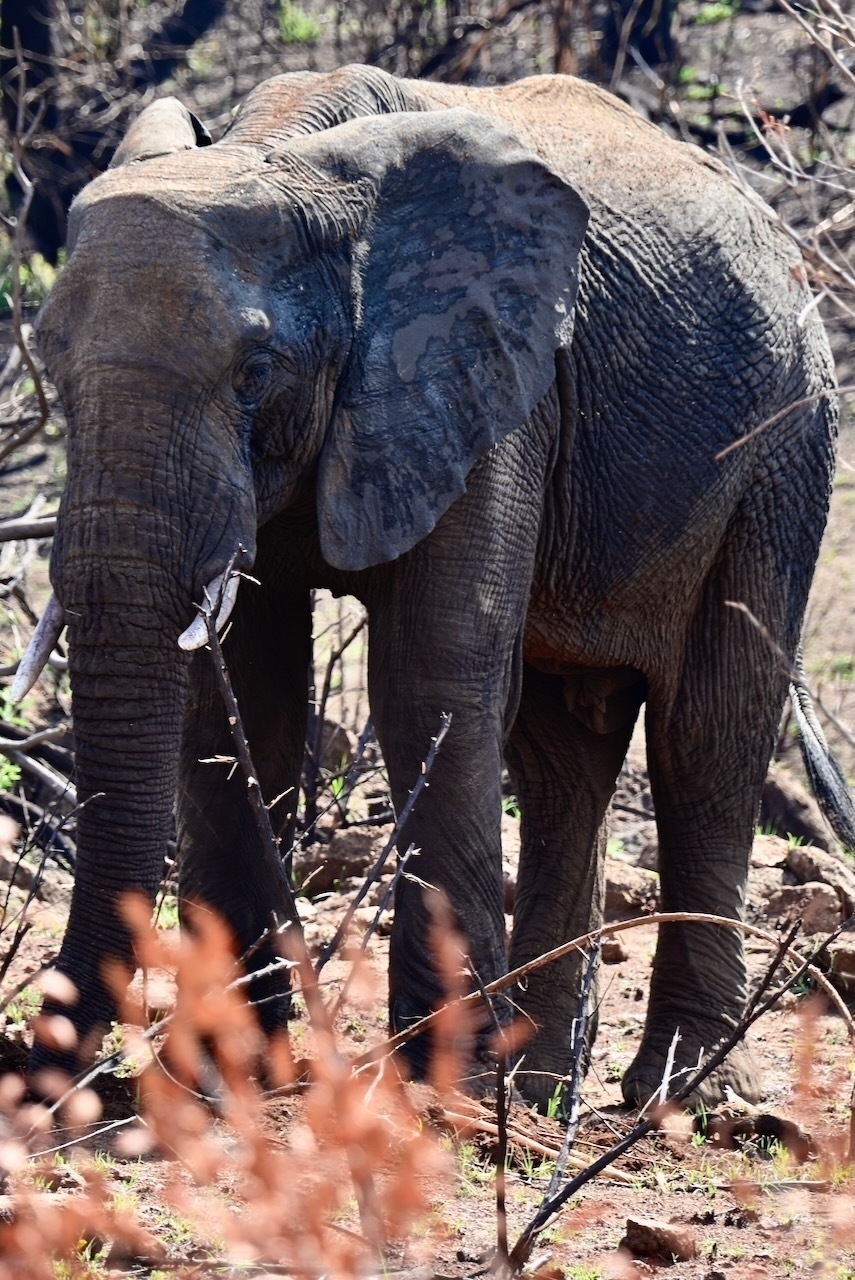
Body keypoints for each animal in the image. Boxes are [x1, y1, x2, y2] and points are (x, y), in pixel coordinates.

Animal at [18, 60, 839, 1105]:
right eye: (50, 359)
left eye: (255, 372)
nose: (50, 1074)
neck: (284, 153)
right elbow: (243, 696)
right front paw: (223, 1080)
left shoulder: (493, 381)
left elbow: (428, 679)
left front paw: (431, 1088)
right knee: (560, 754)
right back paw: (537, 1086)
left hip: (784, 441)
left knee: (707, 735)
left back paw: (666, 1088)